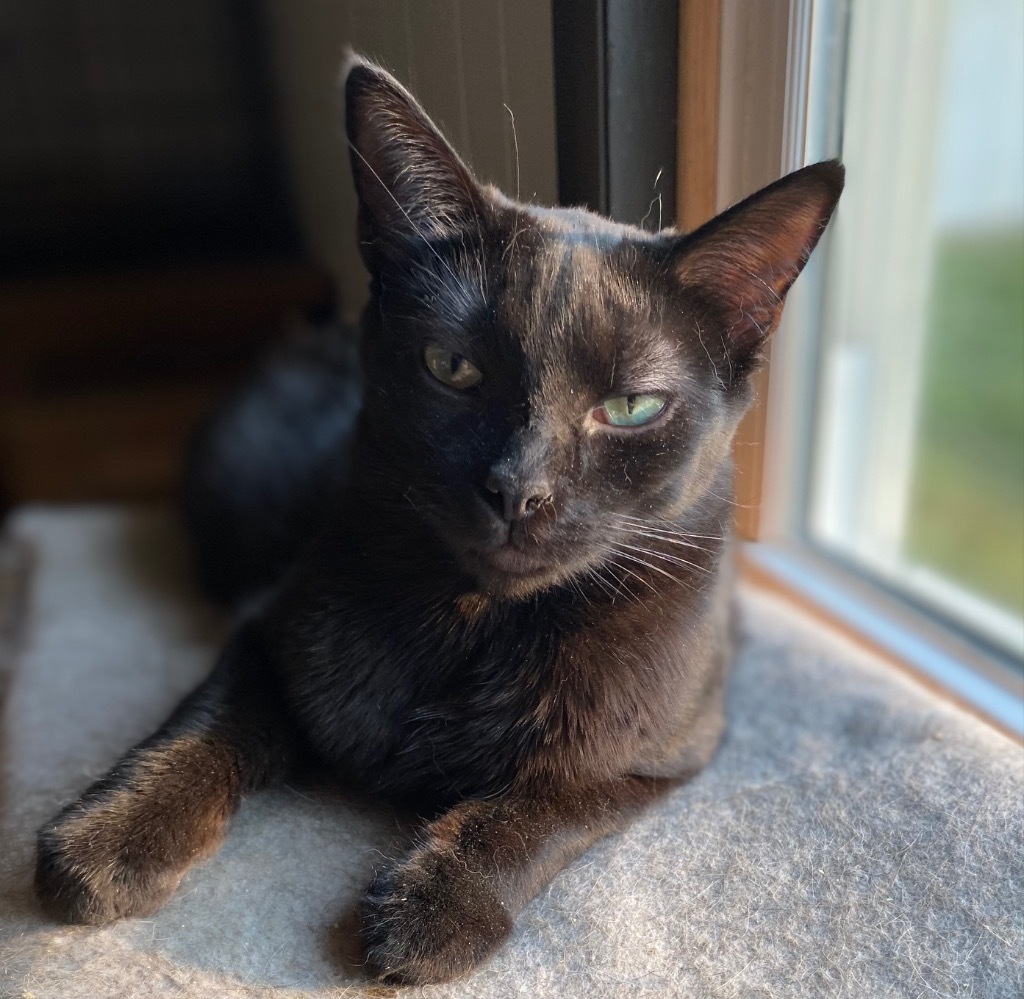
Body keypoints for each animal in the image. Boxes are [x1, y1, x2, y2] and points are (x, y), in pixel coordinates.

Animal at [36, 56, 843, 982]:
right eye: (452, 367)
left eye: (633, 407)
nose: (519, 489)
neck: (475, 623)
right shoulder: (272, 625)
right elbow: (205, 722)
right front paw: (109, 835)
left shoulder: (664, 747)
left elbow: (540, 803)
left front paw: (436, 906)